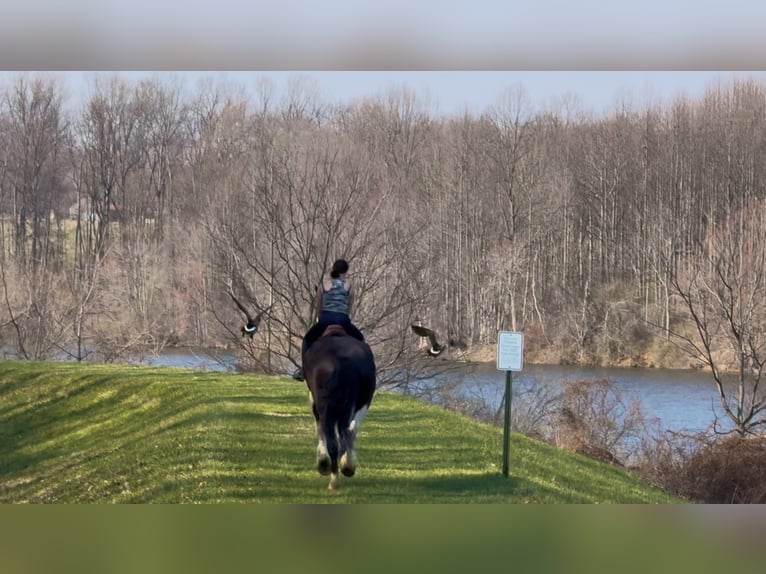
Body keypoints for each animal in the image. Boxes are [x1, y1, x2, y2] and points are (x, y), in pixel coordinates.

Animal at [303, 324, 376, 490]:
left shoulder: (316, 403)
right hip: (361, 402)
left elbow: (320, 430)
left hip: (329, 407)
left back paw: (335, 478)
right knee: (350, 430)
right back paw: (346, 466)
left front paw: (323, 463)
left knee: (335, 438)